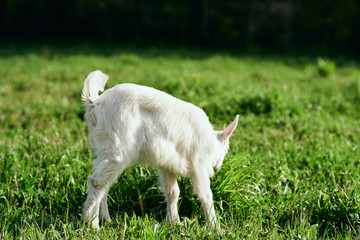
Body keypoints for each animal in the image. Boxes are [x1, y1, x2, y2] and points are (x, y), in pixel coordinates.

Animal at [82, 69, 239, 229]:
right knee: (97, 182)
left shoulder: (167, 164)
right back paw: (92, 224)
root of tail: (95, 102)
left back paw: (106, 219)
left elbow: (173, 192)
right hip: (119, 148)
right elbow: (206, 195)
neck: (211, 141)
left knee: (105, 183)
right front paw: (215, 227)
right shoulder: (198, 164)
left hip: (104, 148)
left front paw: (174, 222)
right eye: (226, 151)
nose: (218, 167)